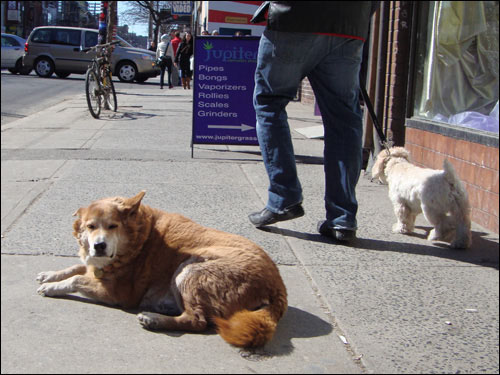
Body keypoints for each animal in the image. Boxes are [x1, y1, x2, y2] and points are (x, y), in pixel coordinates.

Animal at [37, 192, 288, 348]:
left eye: (112, 226)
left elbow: (77, 278)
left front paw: (52, 286)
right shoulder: (97, 265)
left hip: (188, 270)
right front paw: (50, 275)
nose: (99, 246)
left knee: (197, 321)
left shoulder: (119, 294)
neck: (139, 237)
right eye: (90, 226)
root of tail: (278, 285)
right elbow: (77, 266)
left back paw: (154, 319)